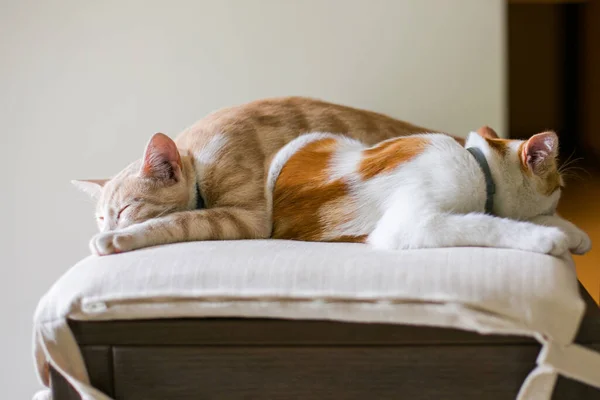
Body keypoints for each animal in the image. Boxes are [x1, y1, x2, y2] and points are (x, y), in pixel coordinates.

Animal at [72, 96, 468, 256]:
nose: (108, 228)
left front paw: (117, 240)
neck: (199, 160)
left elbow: (178, 221)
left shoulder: (246, 217)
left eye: (126, 210)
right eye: (100, 218)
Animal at [268, 128, 592, 255]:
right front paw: (547, 237)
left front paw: (575, 234)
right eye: (559, 187)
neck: (478, 166)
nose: (557, 203)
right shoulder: (410, 224)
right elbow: (484, 223)